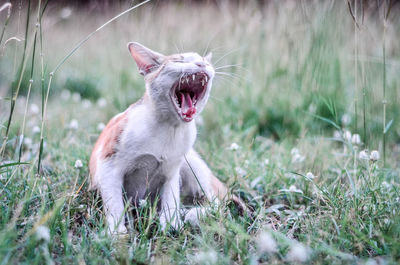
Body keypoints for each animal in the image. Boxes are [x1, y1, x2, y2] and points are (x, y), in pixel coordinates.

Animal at [88, 41, 245, 233]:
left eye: (205, 61)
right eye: (179, 60)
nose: (202, 64)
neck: (169, 128)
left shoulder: (172, 170)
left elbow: (171, 198)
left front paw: (171, 224)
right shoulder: (108, 164)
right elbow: (115, 203)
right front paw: (117, 232)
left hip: (192, 163)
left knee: (217, 203)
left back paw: (193, 214)